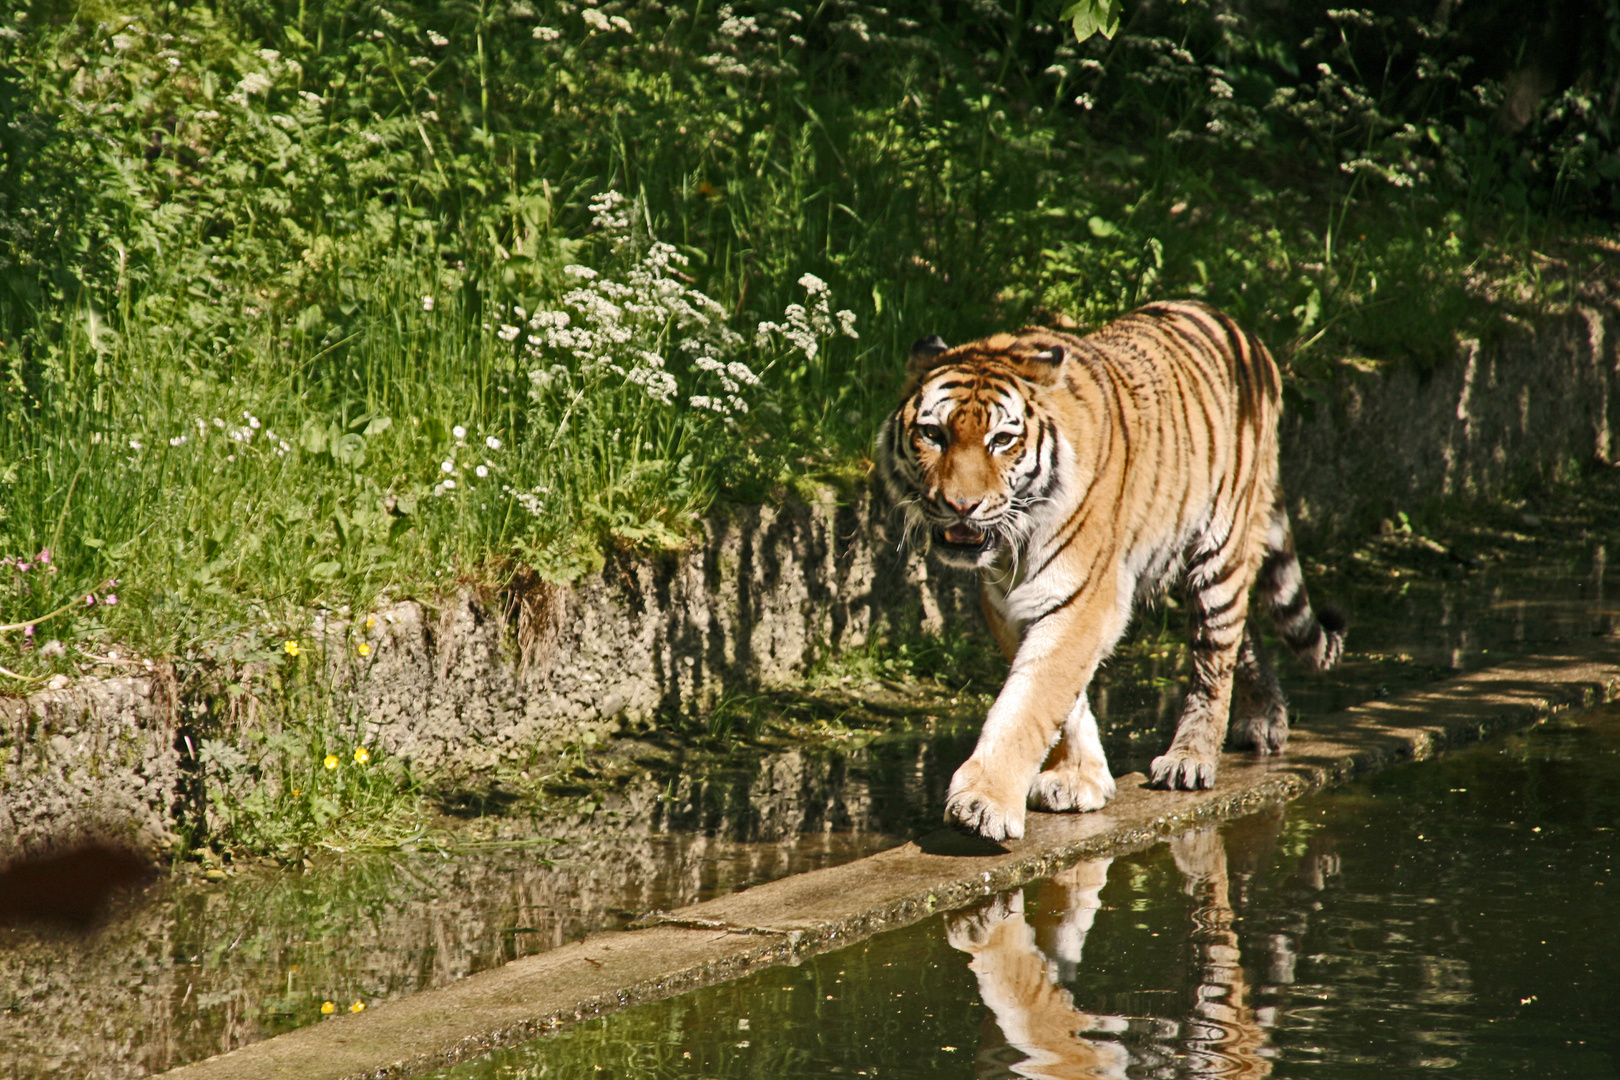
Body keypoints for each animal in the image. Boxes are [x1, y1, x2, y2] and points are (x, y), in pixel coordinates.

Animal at [874, 299, 1341, 841]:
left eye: (1001, 440)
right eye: (934, 434)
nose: (961, 506)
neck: (1015, 543)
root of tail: (1239, 329)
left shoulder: (1081, 596)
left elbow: (1029, 701)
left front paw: (983, 802)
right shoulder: (1011, 602)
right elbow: (1061, 698)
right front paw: (1080, 779)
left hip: (1220, 549)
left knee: (1215, 656)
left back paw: (1190, 758)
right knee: (1244, 635)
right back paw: (1264, 719)